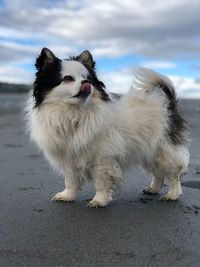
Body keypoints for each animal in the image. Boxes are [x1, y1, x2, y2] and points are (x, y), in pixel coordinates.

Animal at [25, 47, 190, 207]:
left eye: (88, 78)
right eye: (68, 79)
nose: (86, 82)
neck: (73, 113)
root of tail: (166, 103)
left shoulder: (102, 160)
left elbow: (101, 182)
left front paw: (99, 200)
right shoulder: (70, 159)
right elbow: (71, 180)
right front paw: (67, 196)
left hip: (162, 151)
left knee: (174, 173)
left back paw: (173, 194)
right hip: (148, 152)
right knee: (158, 173)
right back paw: (153, 189)